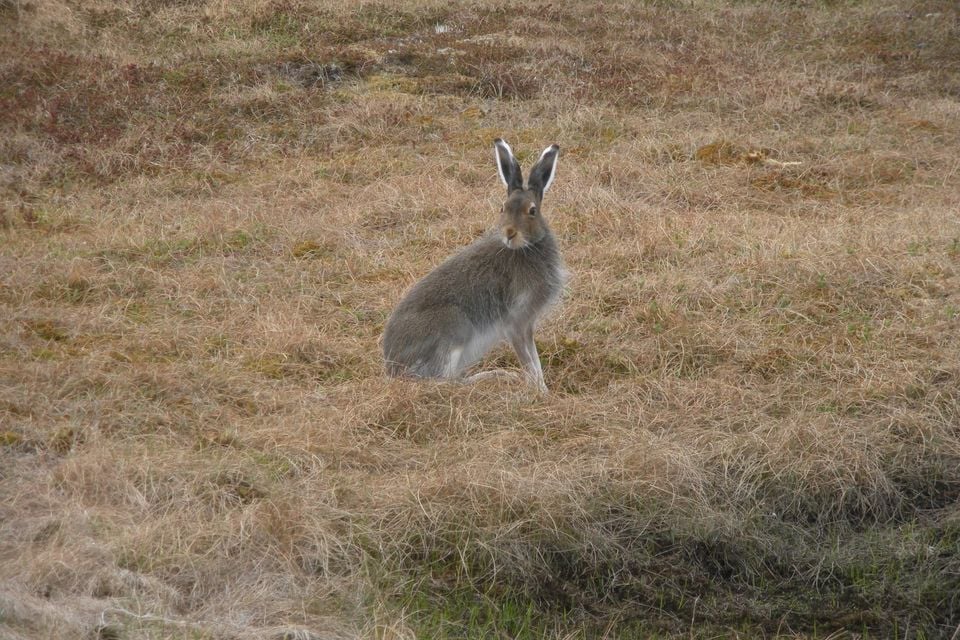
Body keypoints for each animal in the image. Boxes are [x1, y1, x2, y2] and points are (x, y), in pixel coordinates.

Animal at [382, 139, 564, 393]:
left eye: (532, 211)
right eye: (502, 208)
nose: (509, 233)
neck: (524, 248)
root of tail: (392, 366)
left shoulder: (527, 323)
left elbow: (534, 358)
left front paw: (542, 389)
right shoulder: (515, 322)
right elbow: (528, 360)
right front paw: (541, 392)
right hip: (454, 329)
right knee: (445, 381)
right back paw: (496, 376)